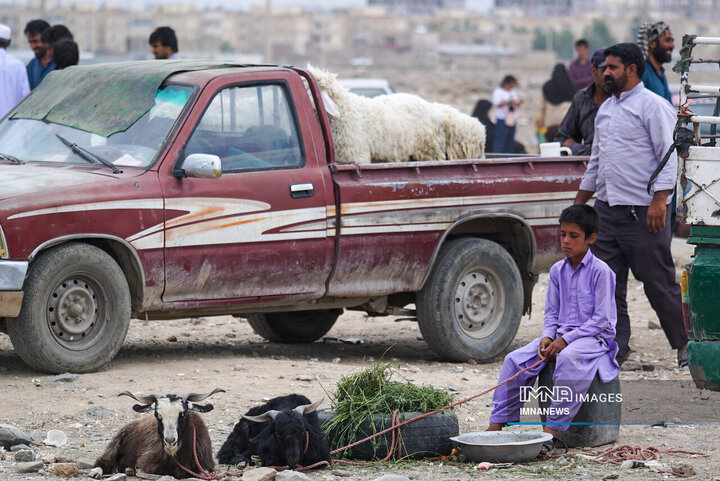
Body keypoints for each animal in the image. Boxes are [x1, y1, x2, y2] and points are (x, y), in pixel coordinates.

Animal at [95, 388, 224, 478]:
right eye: (158, 416)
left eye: (183, 415)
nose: (170, 441)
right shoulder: (147, 461)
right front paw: (136, 469)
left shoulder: (207, 465)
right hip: (116, 443)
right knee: (105, 461)